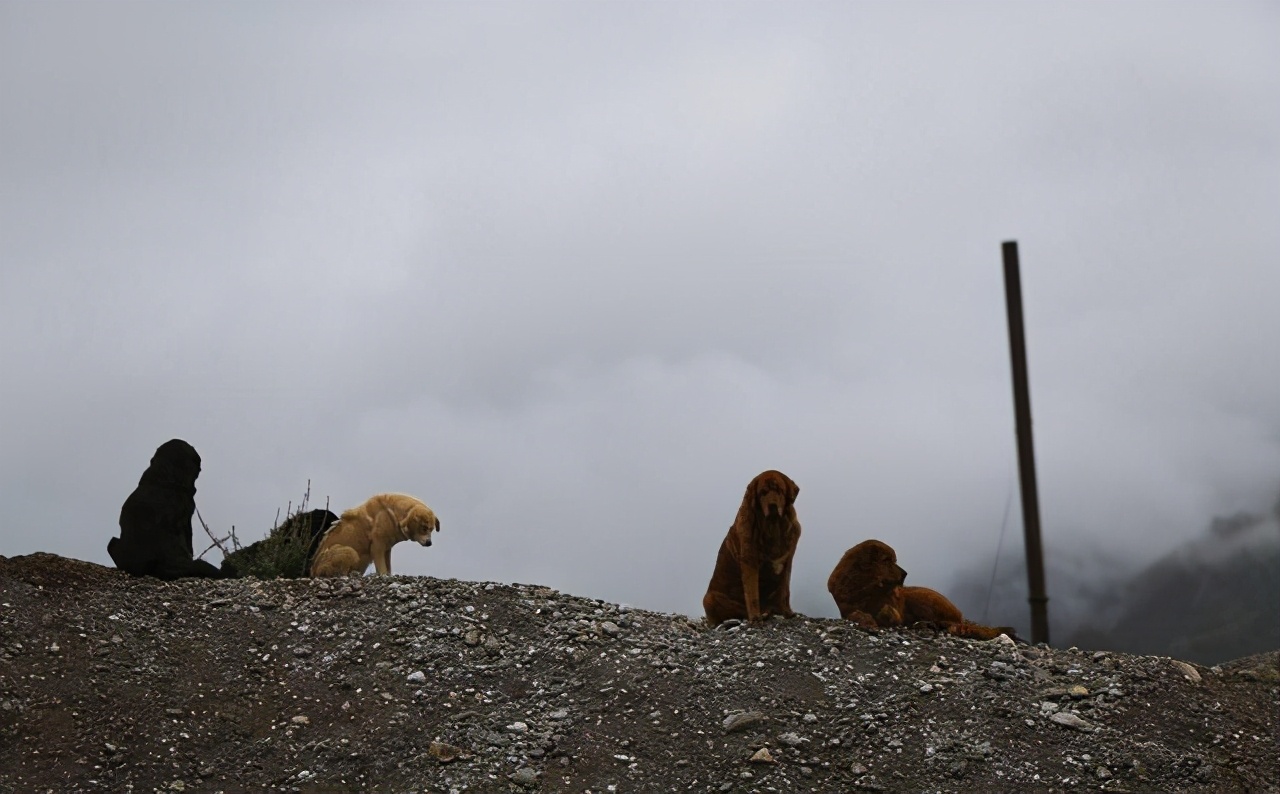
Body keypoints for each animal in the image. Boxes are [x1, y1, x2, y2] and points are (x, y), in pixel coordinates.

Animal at [308, 489, 440, 576]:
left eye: (432, 529)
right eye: (423, 528)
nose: (429, 543)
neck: (393, 513)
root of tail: (313, 571)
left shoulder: (387, 549)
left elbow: (388, 568)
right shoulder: (377, 547)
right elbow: (382, 569)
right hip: (349, 551)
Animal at [701, 468, 798, 622]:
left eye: (780, 491)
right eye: (763, 492)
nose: (772, 505)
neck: (773, 527)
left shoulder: (788, 558)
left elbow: (784, 589)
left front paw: (787, 612)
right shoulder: (749, 559)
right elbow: (752, 591)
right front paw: (755, 617)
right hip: (709, 598)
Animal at [829, 535, 1008, 642]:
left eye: (894, 560)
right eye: (887, 561)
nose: (905, 574)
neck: (865, 586)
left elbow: (890, 614)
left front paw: (885, 615)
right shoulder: (847, 607)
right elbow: (856, 614)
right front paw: (868, 619)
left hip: (920, 598)